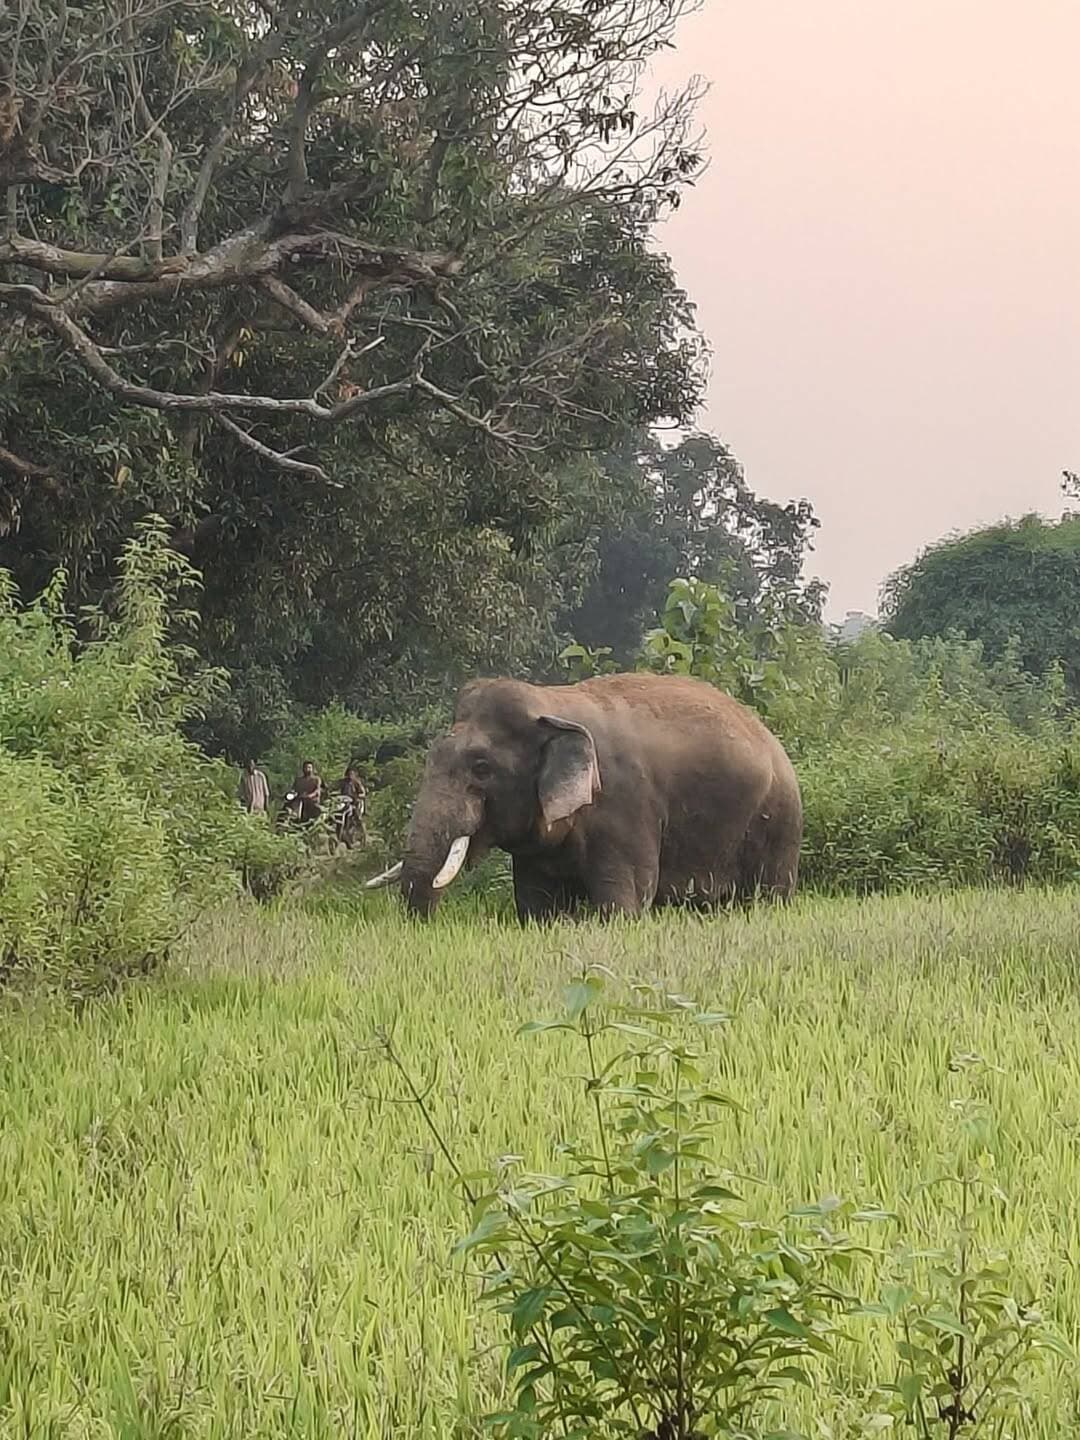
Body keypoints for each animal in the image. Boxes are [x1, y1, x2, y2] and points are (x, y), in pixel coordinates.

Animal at [365, 672, 802, 921]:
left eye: (482, 769)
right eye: (432, 757)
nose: (421, 926)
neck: (550, 703)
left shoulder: (625, 805)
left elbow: (624, 901)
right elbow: (537, 905)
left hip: (779, 821)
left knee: (767, 895)